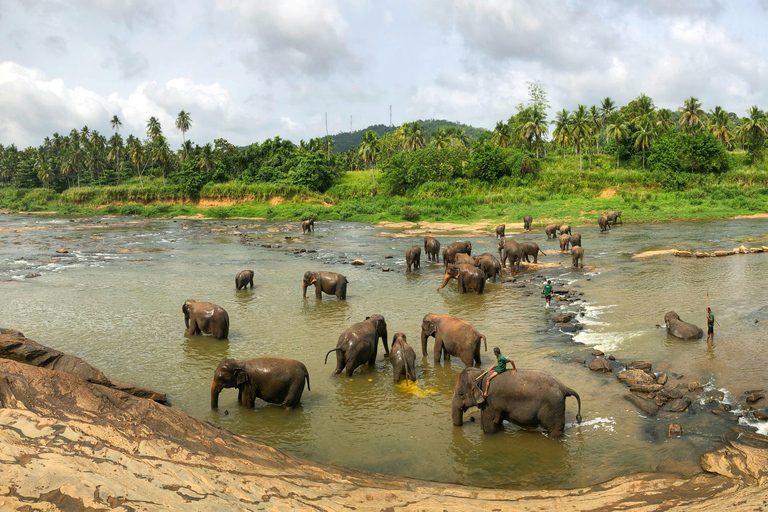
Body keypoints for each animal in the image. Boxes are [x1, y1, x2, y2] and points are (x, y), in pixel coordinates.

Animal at [450, 368, 584, 436]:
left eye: (460, 393)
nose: (470, 420)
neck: (481, 374)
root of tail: (563, 387)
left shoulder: (490, 401)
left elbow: (489, 425)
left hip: (553, 407)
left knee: (555, 430)